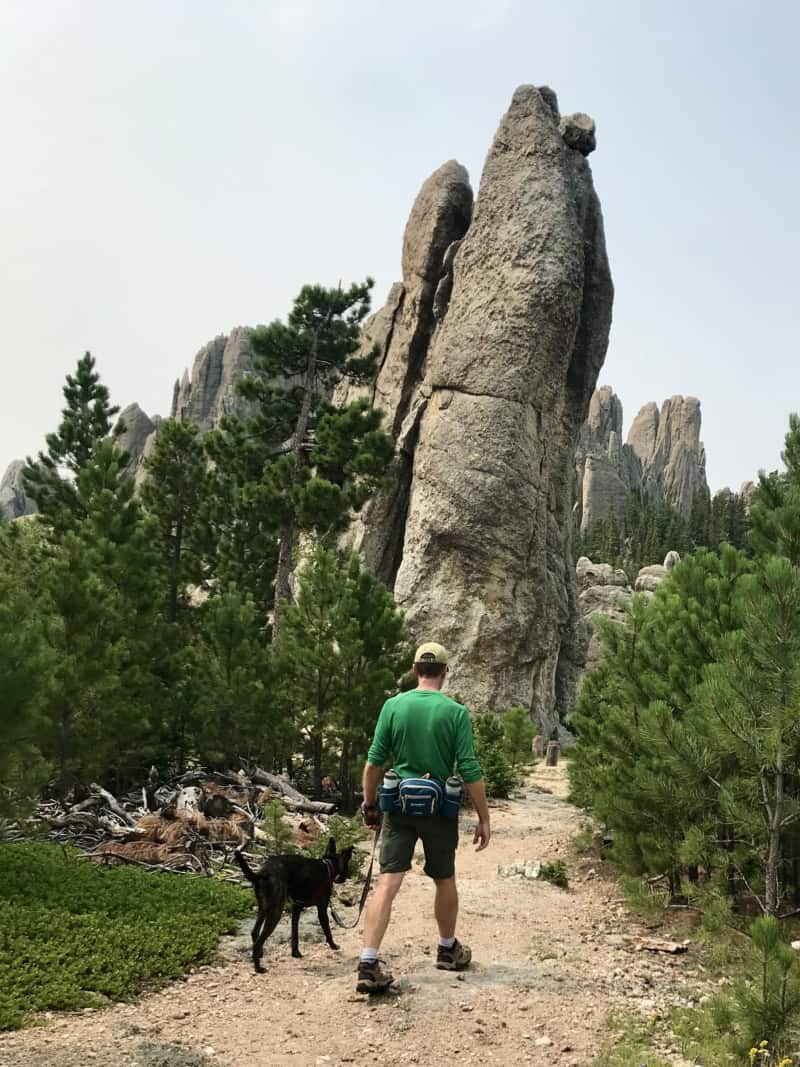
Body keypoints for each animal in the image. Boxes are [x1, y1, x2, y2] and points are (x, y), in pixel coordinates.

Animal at [234, 836, 354, 973]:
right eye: (347, 865)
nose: (344, 879)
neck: (327, 865)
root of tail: (262, 873)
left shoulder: (296, 908)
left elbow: (295, 933)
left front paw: (296, 953)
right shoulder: (322, 910)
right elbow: (327, 930)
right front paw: (333, 945)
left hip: (263, 907)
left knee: (255, 932)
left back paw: (259, 955)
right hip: (276, 911)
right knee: (258, 941)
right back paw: (258, 968)